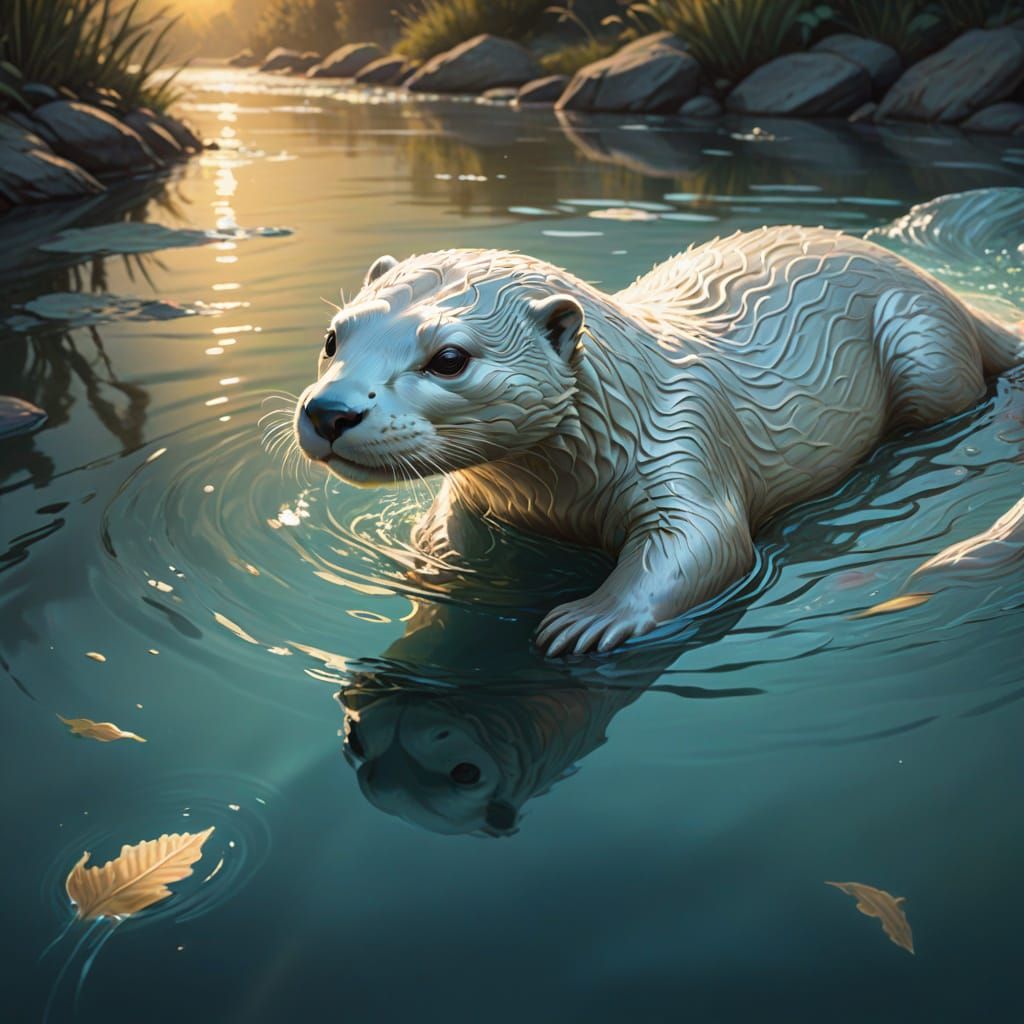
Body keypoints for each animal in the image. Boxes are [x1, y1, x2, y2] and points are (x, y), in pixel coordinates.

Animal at [294, 226, 1023, 655]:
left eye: (448, 358)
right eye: (333, 336)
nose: (329, 411)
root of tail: (941, 288)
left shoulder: (686, 439)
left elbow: (709, 543)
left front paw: (588, 619)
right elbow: (445, 524)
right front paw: (434, 564)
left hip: (924, 349)